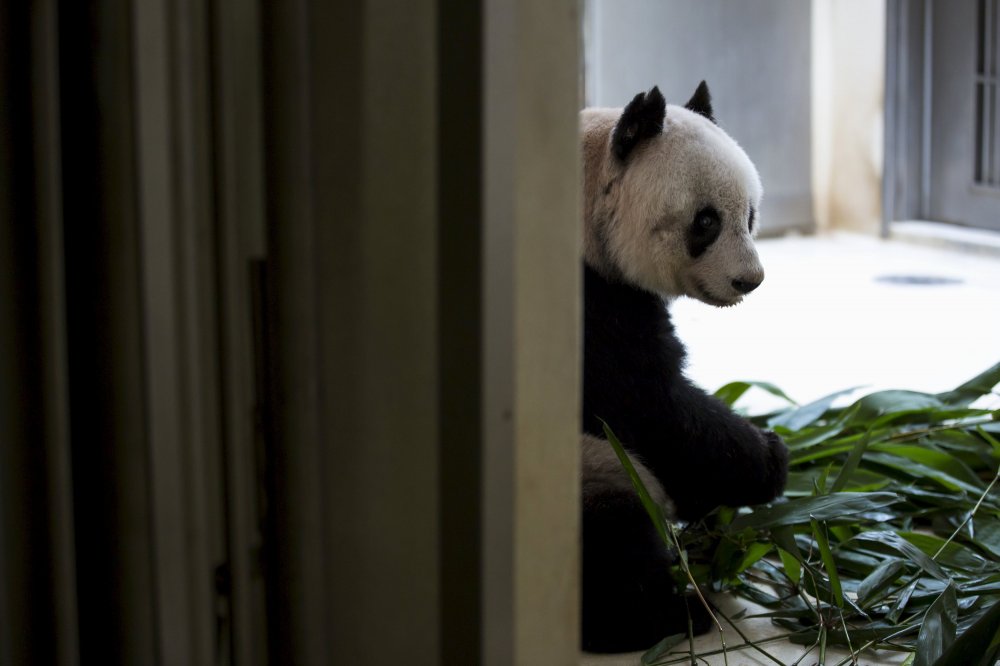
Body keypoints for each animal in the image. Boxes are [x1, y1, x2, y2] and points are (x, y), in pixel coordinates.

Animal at [580, 81, 788, 648]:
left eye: (751, 215)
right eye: (706, 220)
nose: (750, 281)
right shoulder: (588, 306)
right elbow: (652, 409)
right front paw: (769, 457)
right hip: (595, 473)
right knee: (613, 546)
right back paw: (671, 613)